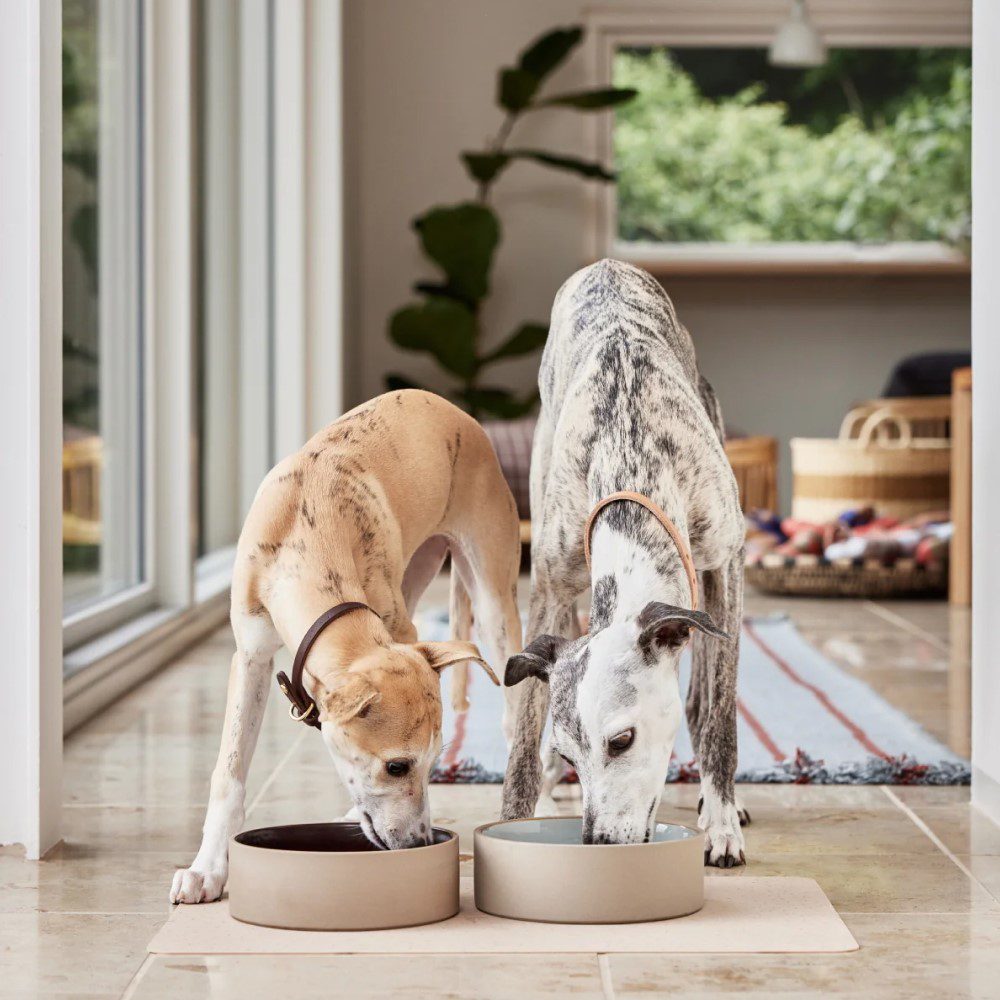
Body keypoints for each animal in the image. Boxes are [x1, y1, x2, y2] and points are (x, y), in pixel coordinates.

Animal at [504, 260, 748, 868]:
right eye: (572, 755)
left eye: (622, 741)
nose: (597, 844)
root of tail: (607, 265)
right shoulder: (548, 589)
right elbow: (523, 740)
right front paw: (514, 819)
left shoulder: (724, 563)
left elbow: (721, 718)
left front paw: (723, 824)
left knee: (701, 700)